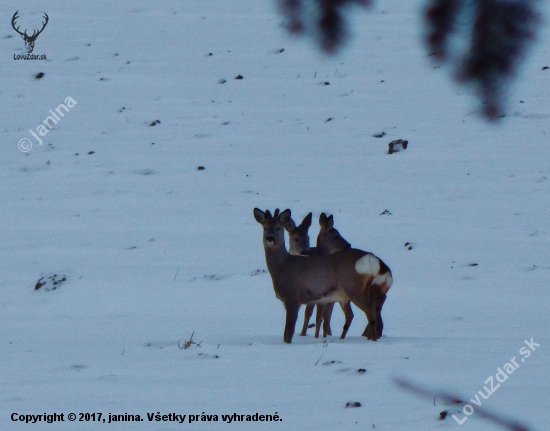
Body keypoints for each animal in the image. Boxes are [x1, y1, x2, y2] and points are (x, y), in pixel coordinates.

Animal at [254, 209, 392, 344]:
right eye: (265, 228)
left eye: (278, 228)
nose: (270, 238)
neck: (282, 266)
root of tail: (372, 260)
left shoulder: (292, 297)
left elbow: (288, 332)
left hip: (353, 288)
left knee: (370, 312)